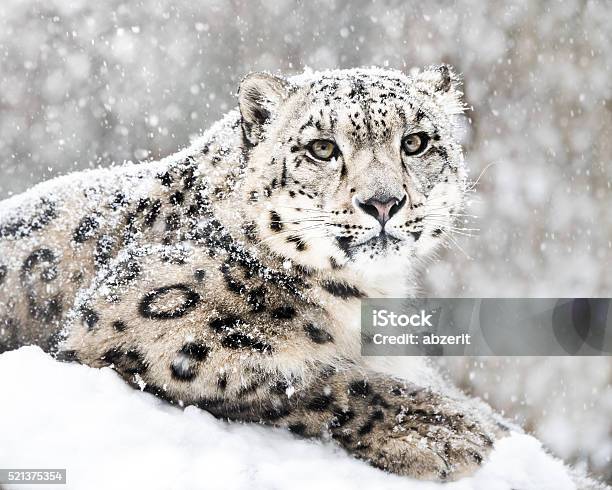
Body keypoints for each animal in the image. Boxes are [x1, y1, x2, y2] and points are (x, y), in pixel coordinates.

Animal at [0, 66, 502, 482]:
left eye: (415, 141)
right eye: (322, 148)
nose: (383, 202)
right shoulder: (135, 318)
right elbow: (303, 377)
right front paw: (438, 430)